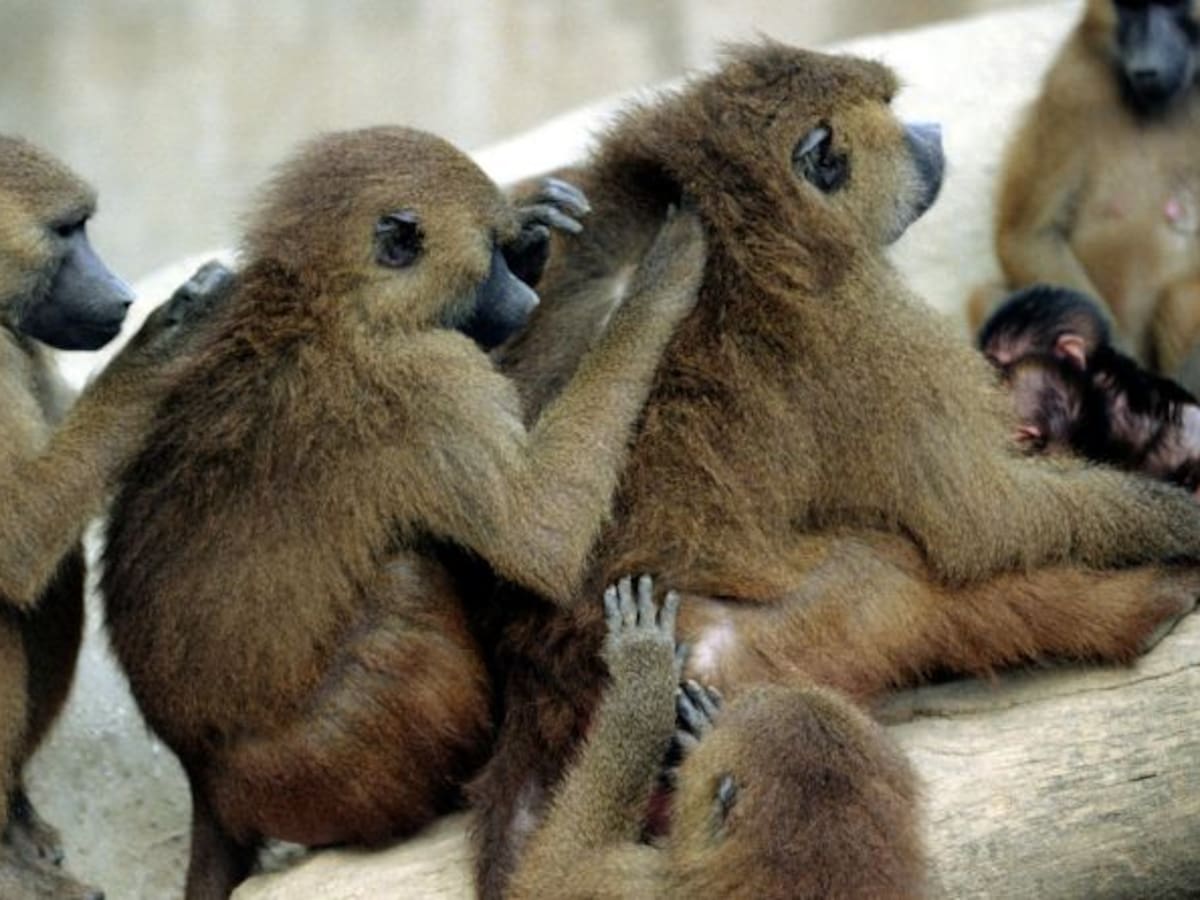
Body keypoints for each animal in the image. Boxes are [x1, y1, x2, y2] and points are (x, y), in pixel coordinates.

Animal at [0, 135, 234, 900]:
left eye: (84, 227)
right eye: (65, 231)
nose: (124, 294)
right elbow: (16, 541)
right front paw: (177, 331)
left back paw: (14, 819)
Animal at [97, 126, 706, 900]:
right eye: (487, 257)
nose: (520, 296)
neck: (326, 298)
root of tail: (198, 774)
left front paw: (542, 233)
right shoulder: (434, 383)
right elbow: (540, 535)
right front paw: (663, 274)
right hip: (320, 771)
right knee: (405, 581)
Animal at [981, 0, 1200, 387]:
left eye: (1175, 5)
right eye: (1131, 8)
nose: (1147, 67)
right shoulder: (1072, 83)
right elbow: (1029, 236)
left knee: (1184, 299)